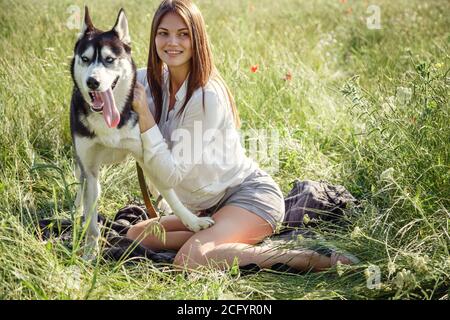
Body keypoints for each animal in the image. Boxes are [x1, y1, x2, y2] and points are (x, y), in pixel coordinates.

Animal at [70, 6, 214, 258]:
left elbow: (169, 189)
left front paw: (192, 221)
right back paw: (78, 208)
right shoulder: (89, 166)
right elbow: (92, 217)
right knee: (83, 184)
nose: (92, 82)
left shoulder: (144, 153)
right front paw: (90, 253)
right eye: (85, 59)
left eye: (109, 59)